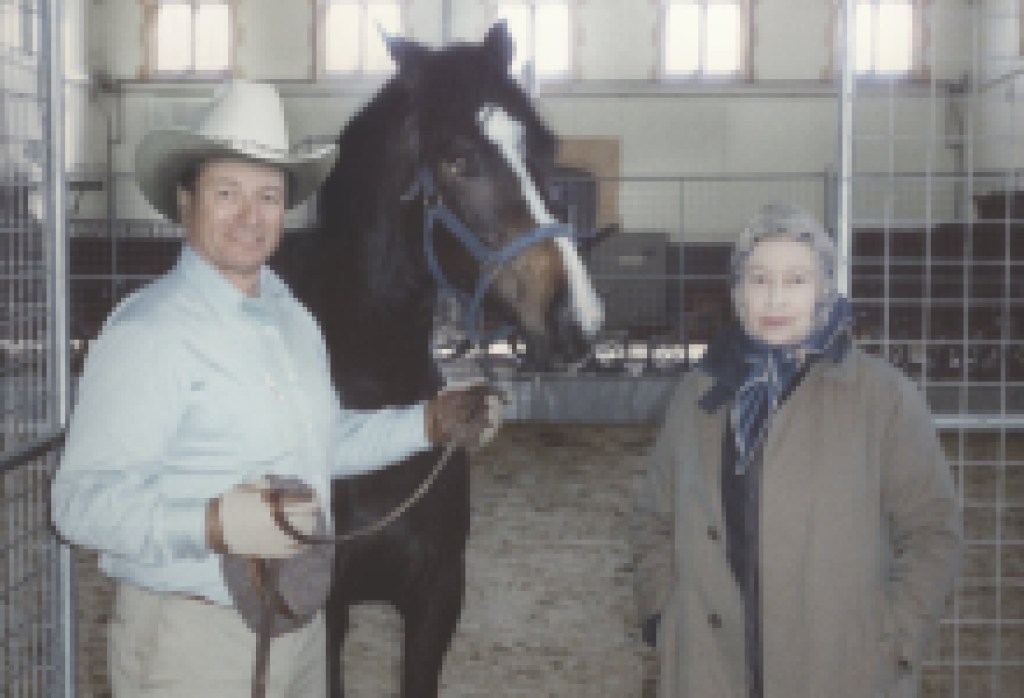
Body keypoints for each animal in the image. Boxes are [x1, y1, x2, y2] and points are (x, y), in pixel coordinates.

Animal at [281, 24, 604, 697]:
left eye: (542, 148)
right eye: (456, 160)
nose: (579, 320)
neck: (373, 402)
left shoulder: (436, 597)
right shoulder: (327, 612)